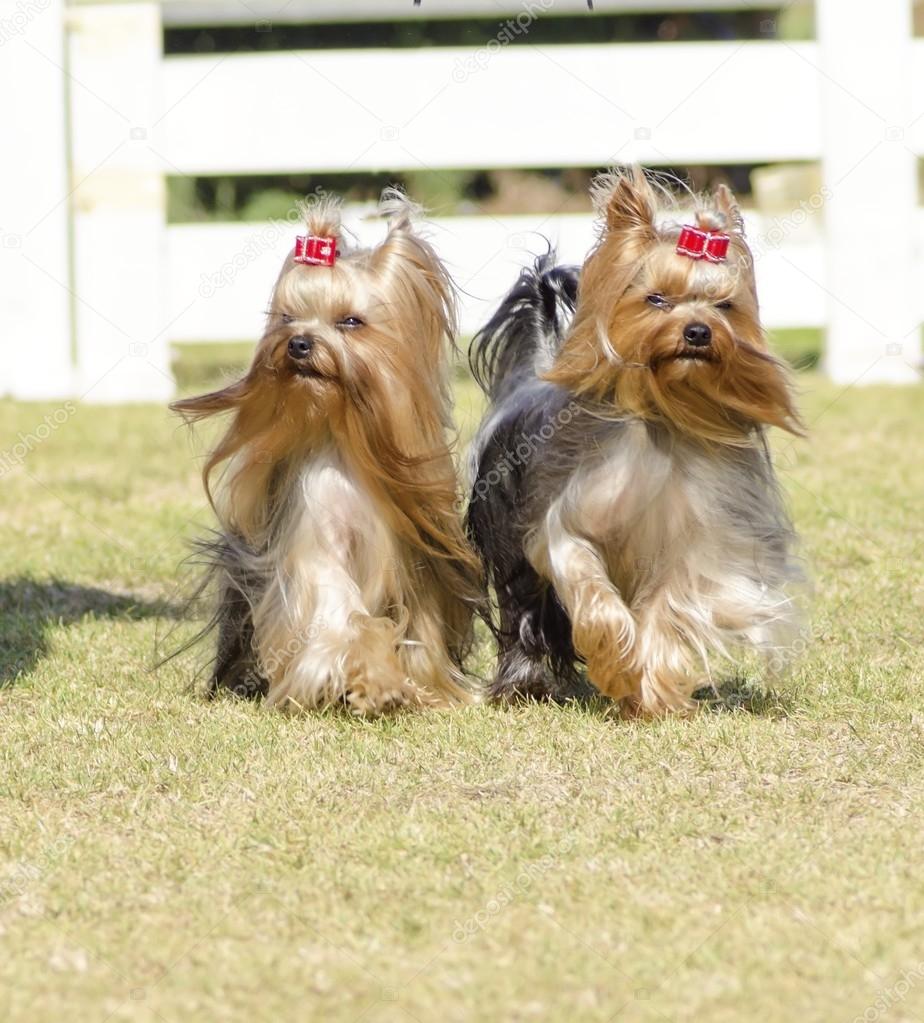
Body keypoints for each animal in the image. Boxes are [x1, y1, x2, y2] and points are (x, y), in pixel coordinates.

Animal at [173, 193, 480, 720]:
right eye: (286, 317)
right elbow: (344, 614)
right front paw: (374, 684)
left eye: (350, 321)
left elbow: (418, 629)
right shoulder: (315, 540)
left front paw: (424, 689)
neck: (344, 436)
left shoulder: (412, 558)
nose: (298, 344)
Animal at [470, 167, 802, 716]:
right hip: (506, 538)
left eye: (724, 305)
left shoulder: (688, 544)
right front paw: (616, 663)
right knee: (525, 613)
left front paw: (650, 692)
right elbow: (588, 584)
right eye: (656, 299)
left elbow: (668, 609)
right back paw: (526, 685)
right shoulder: (563, 521)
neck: (664, 415)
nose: (697, 331)